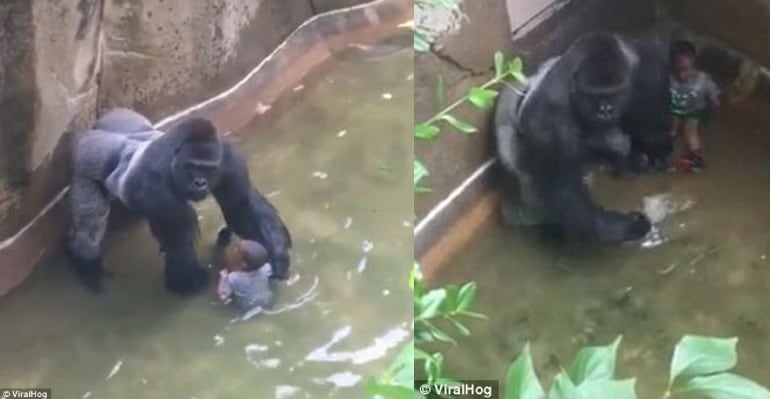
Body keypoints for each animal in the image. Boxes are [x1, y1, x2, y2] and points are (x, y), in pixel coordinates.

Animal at [69, 108, 292, 296]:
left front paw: (279, 256)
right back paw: (87, 265)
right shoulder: (153, 178)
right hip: (86, 157)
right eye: (192, 166)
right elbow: (179, 235)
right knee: (90, 223)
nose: (200, 183)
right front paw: (185, 282)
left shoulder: (229, 160)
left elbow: (240, 206)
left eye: (208, 168)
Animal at [496, 32, 668, 244]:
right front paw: (625, 227)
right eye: (592, 95)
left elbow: (654, 121)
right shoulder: (548, 113)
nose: (605, 110)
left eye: (615, 92)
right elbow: (568, 196)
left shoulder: (646, 64)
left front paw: (657, 152)